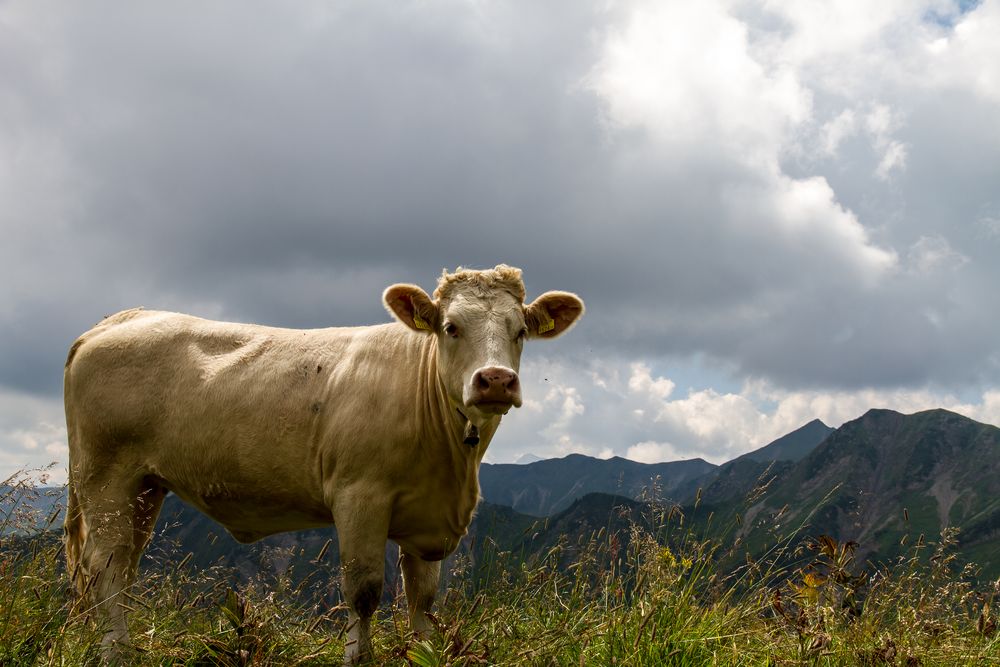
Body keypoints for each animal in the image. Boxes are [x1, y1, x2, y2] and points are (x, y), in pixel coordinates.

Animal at [62, 264, 584, 664]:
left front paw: (424, 652)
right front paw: (359, 656)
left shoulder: (427, 516)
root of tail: (118, 320)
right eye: (451, 327)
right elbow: (363, 589)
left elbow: (422, 598)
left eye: (521, 331)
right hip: (105, 476)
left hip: (145, 486)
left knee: (123, 566)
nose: (495, 379)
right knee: (104, 566)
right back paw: (116, 652)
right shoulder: (359, 496)